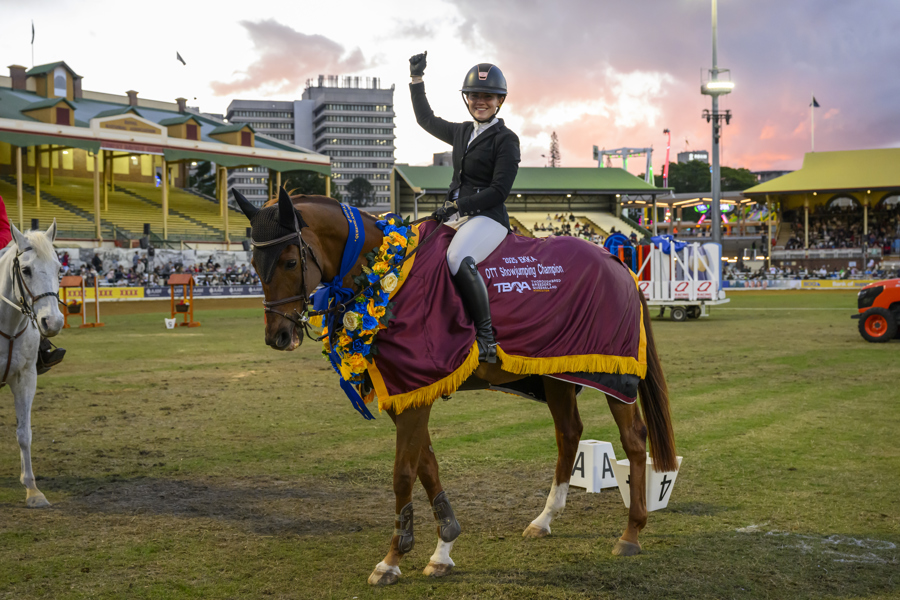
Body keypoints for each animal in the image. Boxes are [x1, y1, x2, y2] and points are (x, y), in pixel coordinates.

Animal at [234, 190, 676, 586]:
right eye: (253, 262)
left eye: (291, 260)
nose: (278, 336)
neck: (387, 274)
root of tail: (618, 263)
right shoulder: (407, 393)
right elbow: (427, 466)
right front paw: (443, 547)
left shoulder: (416, 389)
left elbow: (403, 473)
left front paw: (392, 559)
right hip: (558, 376)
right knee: (569, 434)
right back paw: (545, 520)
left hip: (615, 376)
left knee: (634, 439)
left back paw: (631, 533)